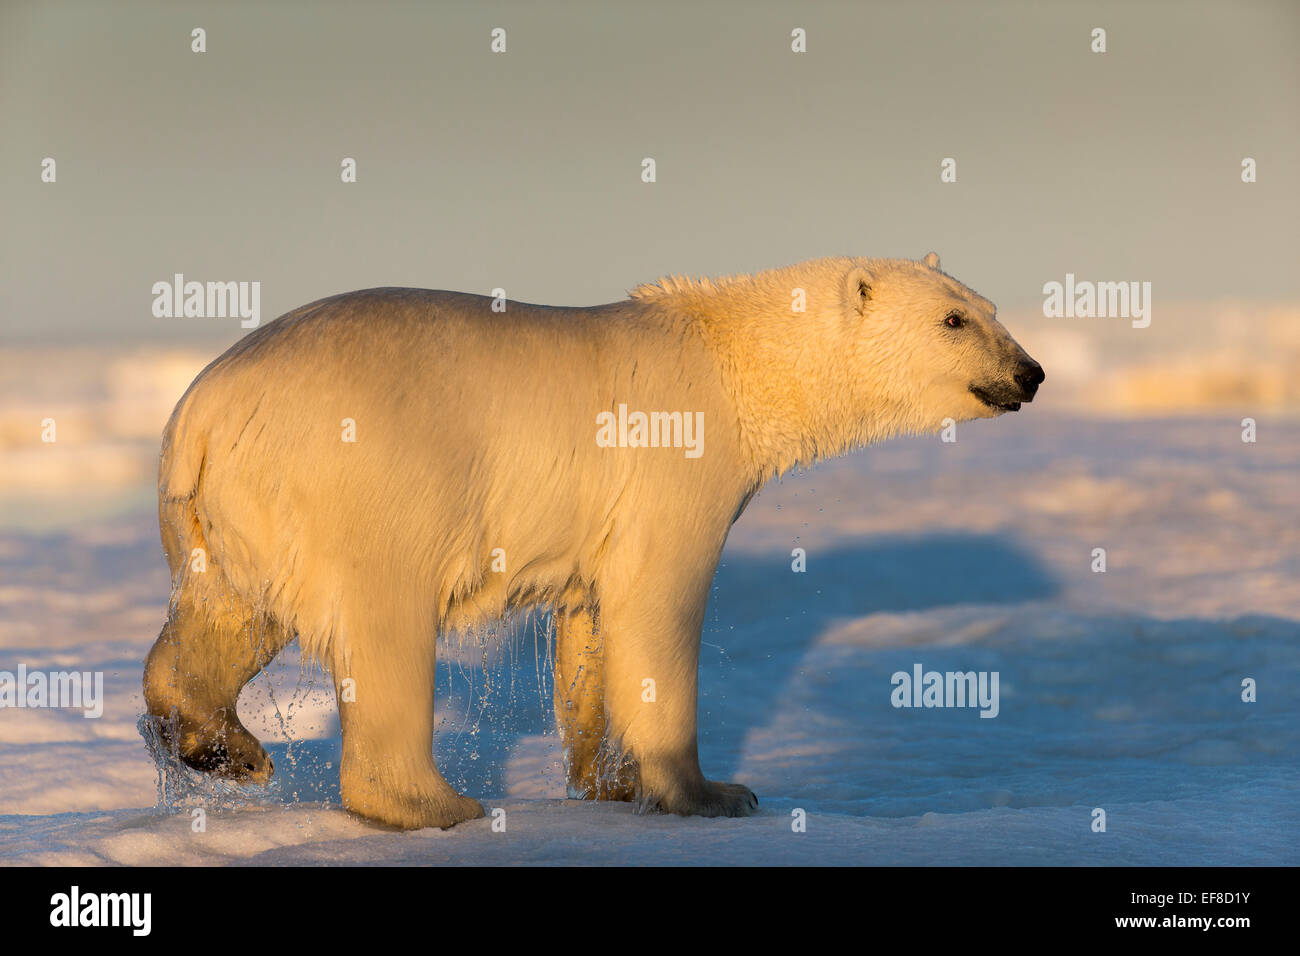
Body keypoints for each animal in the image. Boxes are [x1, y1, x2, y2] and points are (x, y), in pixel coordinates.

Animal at [142, 254, 1040, 832]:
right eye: (954, 319)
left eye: (992, 308)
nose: (1029, 373)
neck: (733, 359)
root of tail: (202, 409)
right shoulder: (674, 465)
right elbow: (658, 602)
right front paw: (713, 792)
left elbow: (592, 630)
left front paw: (606, 780)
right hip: (365, 479)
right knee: (385, 623)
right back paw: (434, 804)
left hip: (228, 510)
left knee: (229, 616)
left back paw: (220, 747)